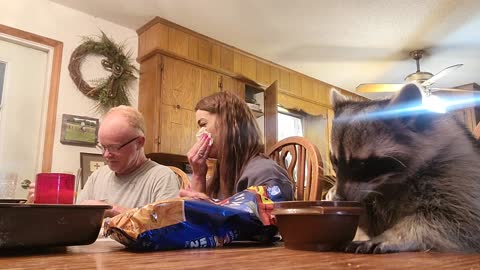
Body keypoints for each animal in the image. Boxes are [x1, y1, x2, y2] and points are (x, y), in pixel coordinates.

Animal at [328, 84, 480, 253]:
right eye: (335, 161)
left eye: (360, 164)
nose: (340, 198)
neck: (391, 180)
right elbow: (375, 223)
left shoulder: (456, 170)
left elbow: (458, 220)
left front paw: (391, 235)